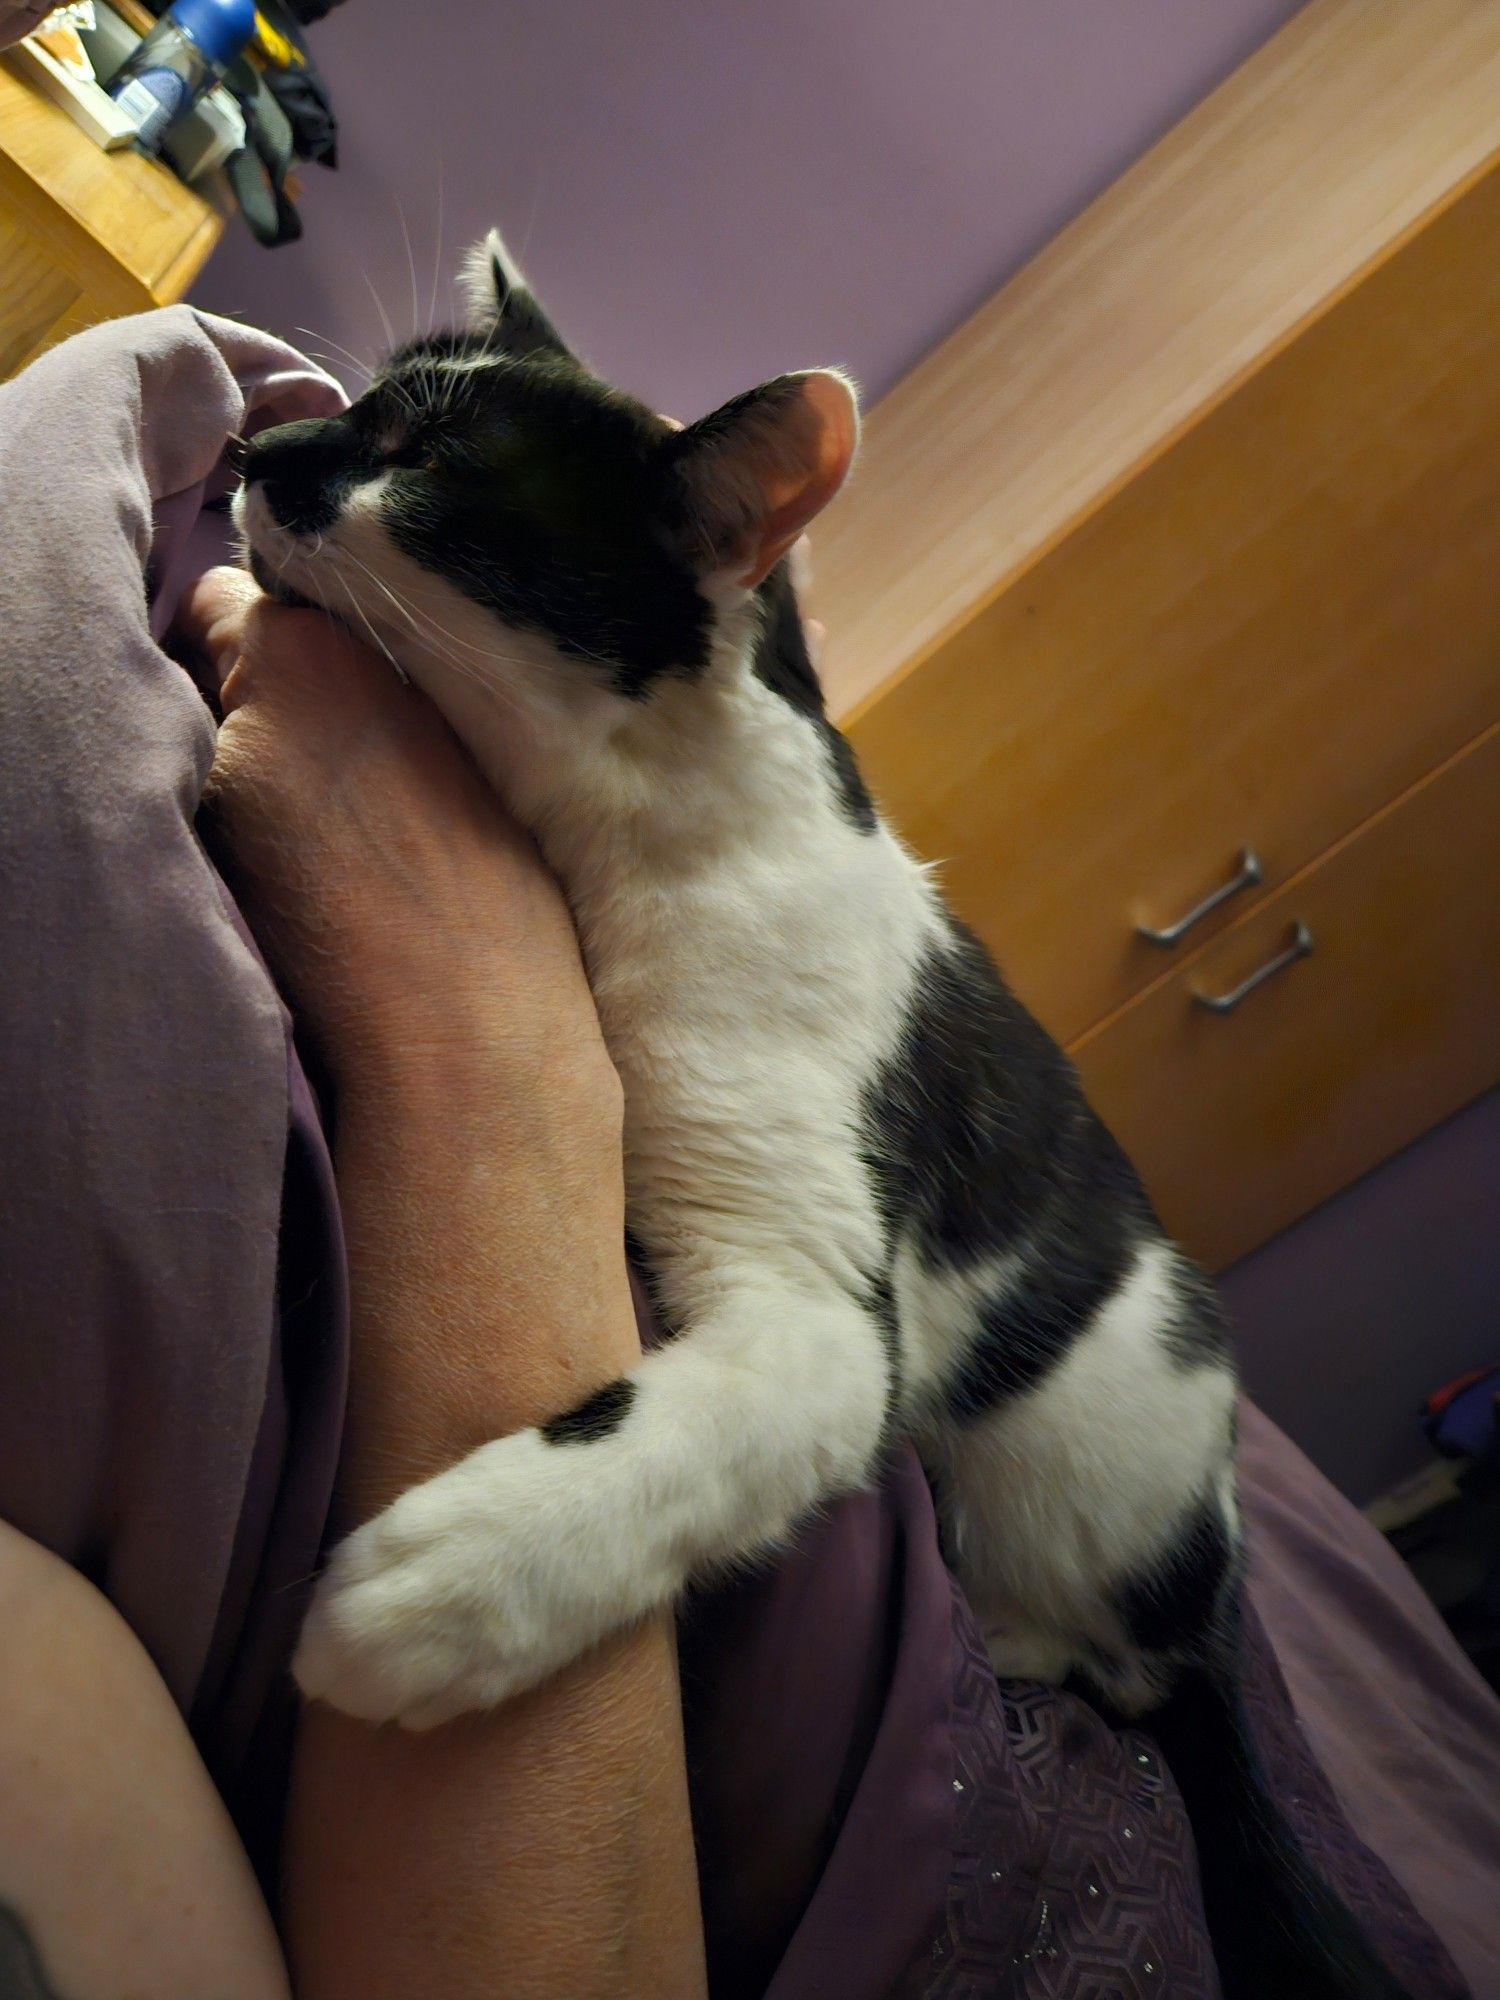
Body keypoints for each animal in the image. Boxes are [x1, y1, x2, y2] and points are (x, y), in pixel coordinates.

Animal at [241, 238, 1416, 2000]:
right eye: (359, 401)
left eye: (425, 458)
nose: (258, 446)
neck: (649, 842)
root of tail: (1211, 1564)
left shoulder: (819, 1306)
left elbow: (709, 1425)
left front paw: (442, 1584)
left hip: (1075, 1436)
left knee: (1120, 1661)